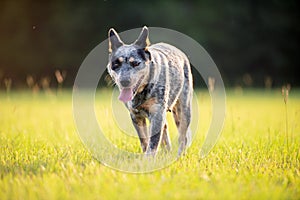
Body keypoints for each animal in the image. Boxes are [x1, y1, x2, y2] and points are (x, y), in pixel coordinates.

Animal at [106, 25, 193, 155]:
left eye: (135, 63)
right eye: (116, 64)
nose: (124, 81)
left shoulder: (157, 113)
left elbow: (152, 144)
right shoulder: (136, 116)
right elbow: (144, 142)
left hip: (183, 110)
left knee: (183, 136)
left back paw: (179, 156)